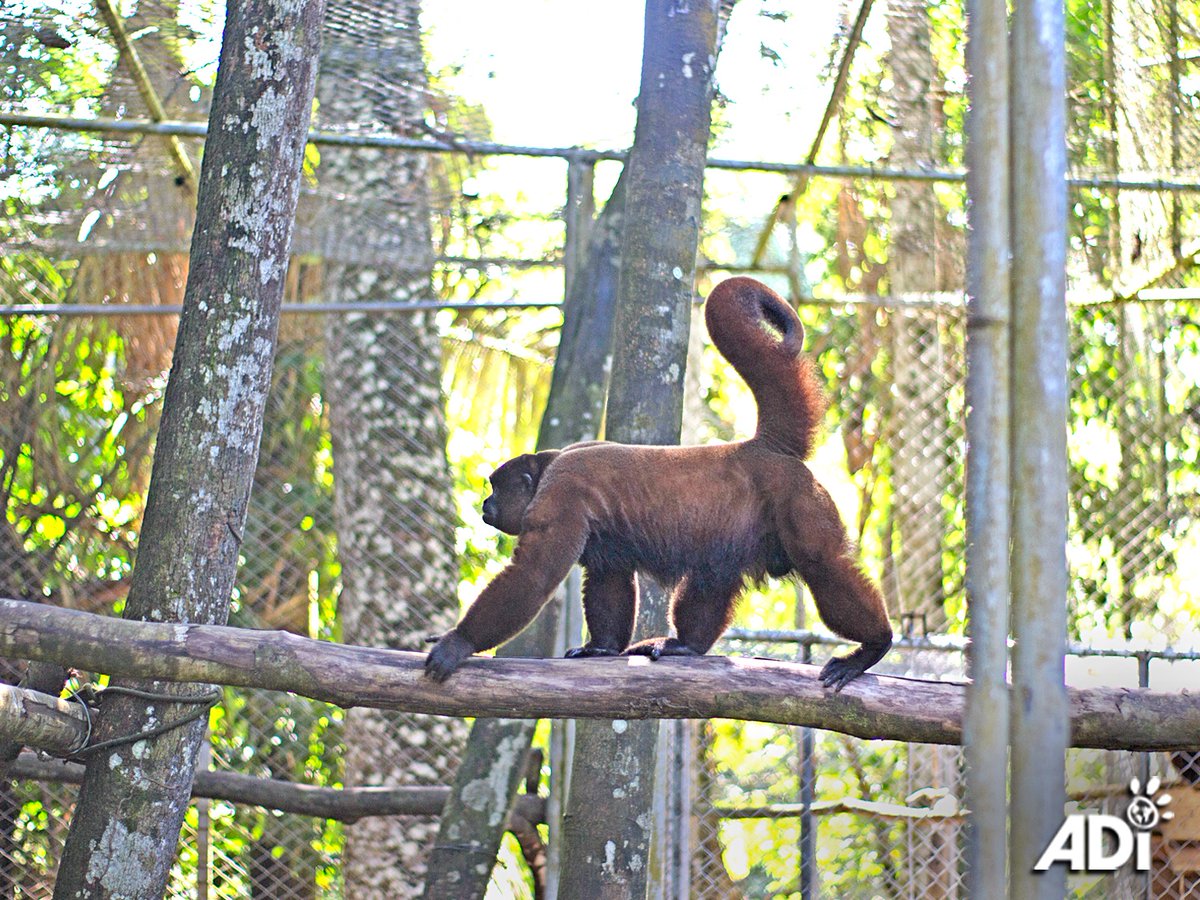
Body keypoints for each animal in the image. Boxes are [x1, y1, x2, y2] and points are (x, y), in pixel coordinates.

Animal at [424, 278, 892, 696]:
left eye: (495, 487)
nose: (485, 503)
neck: (549, 465)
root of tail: (763, 448)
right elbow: (609, 575)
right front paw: (600, 649)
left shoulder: (559, 496)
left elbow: (534, 575)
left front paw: (457, 642)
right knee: (712, 574)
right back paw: (686, 646)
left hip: (797, 498)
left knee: (822, 564)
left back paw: (873, 645)